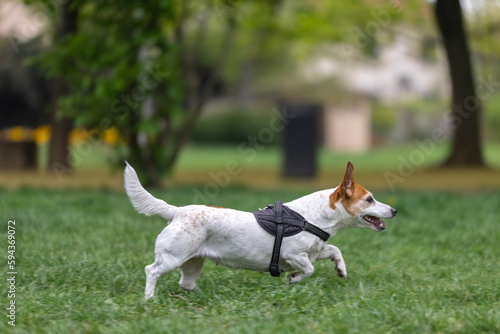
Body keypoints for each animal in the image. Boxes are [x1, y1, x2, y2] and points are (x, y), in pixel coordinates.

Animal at [124, 160, 394, 298]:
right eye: (370, 199)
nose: (394, 211)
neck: (314, 216)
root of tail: (177, 211)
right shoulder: (294, 255)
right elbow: (308, 270)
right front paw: (292, 278)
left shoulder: (316, 250)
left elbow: (335, 250)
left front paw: (341, 270)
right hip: (173, 257)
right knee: (151, 271)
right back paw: (149, 299)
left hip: (193, 262)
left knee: (186, 283)